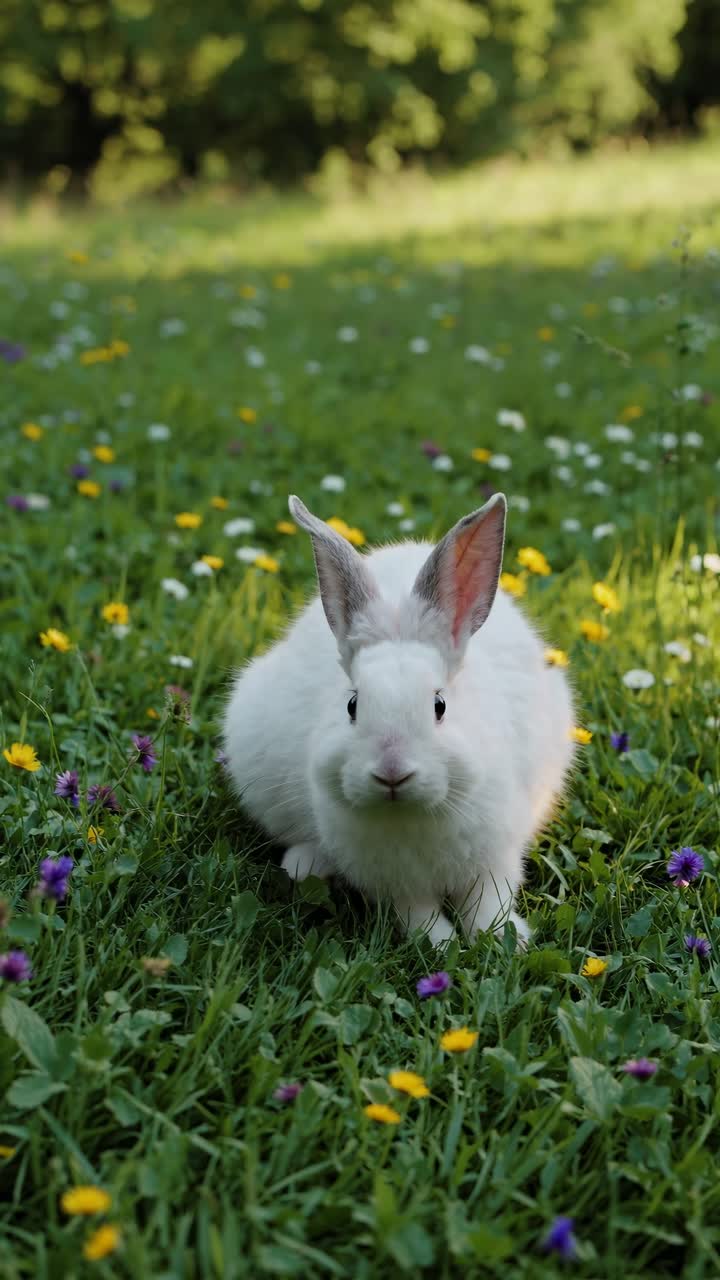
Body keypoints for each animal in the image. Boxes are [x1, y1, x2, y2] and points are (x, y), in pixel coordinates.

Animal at [223, 492, 576, 948]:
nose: (392, 772)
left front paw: (501, 941)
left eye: (439, 705)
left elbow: (487, 902)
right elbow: (417, 914)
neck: (411, 814)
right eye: (352, 705)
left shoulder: (496, 856)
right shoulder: (391, 882)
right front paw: (442, 945)